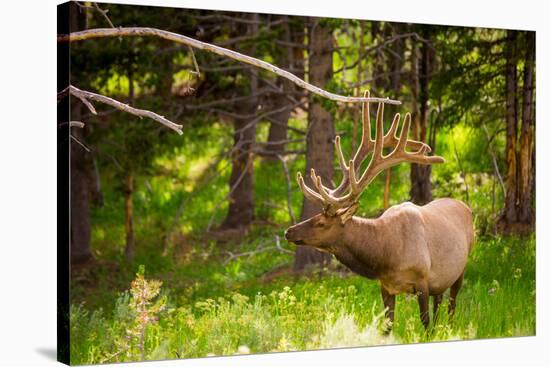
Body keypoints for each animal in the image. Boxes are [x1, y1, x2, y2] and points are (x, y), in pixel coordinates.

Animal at [284, 92, 474, 330]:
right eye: (314, 216)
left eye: (321, 222)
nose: (288, 231)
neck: (385, 256)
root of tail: (466, 207)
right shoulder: (386, 287)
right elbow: (387, 327)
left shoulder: (422, 281)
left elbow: (425, 323)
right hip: (440, 281)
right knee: (440, 302)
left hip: (461, 269)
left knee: (451, 305)